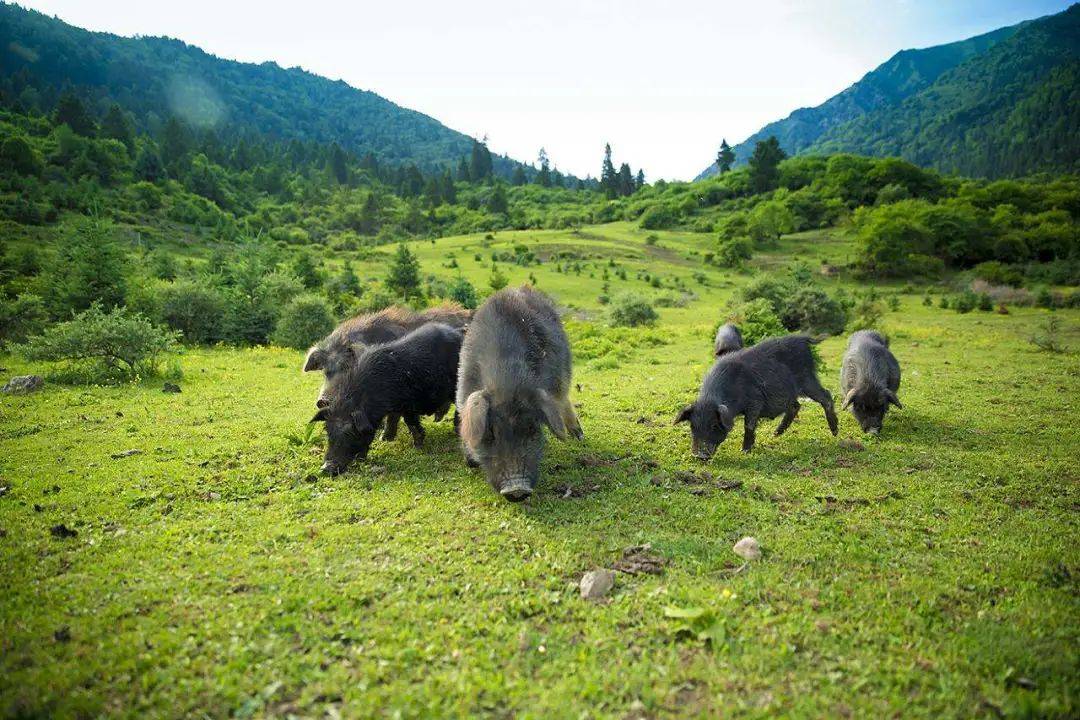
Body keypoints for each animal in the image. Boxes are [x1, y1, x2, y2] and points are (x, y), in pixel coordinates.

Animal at [313, 323, 464, 474]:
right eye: (328, 431)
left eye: (350, 432)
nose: (326, 468)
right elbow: (393, 419)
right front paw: (384, 439)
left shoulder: (408, 403)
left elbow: (410, 421)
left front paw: (418, 446)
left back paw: (457, 431)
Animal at [460, 284, 587, 500]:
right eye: (491, 432)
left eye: (532, 429)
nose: (517, 489)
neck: (505, 379)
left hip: (563, 372)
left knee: (563, 398)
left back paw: (578, 436)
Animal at [673, 334, 842, 459]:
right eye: (692, 426)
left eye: (714, 425)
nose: (699, 456)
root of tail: (803, 338)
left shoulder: (755, 401)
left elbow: (748, 425)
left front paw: (744, 451)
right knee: (796, 405)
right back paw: (776, 434)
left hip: (807, 380)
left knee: (826, 395)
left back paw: (835, 432)